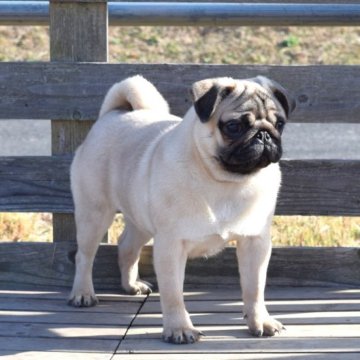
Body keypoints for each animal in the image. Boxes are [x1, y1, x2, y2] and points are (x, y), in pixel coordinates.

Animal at [68, 74, 296, 344]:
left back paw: (131, 285)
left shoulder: (255, 243)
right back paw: (82, 293)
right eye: (234, 126)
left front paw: (260, 321)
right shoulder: (171, 245)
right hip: (94, 213)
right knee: (84, 256)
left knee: (127, 247)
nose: (264, 135)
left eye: (279, 124)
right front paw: (179, 328)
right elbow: (173, 294)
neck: (226, 182)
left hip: (140, 220)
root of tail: (112, 114)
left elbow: (255, 288)